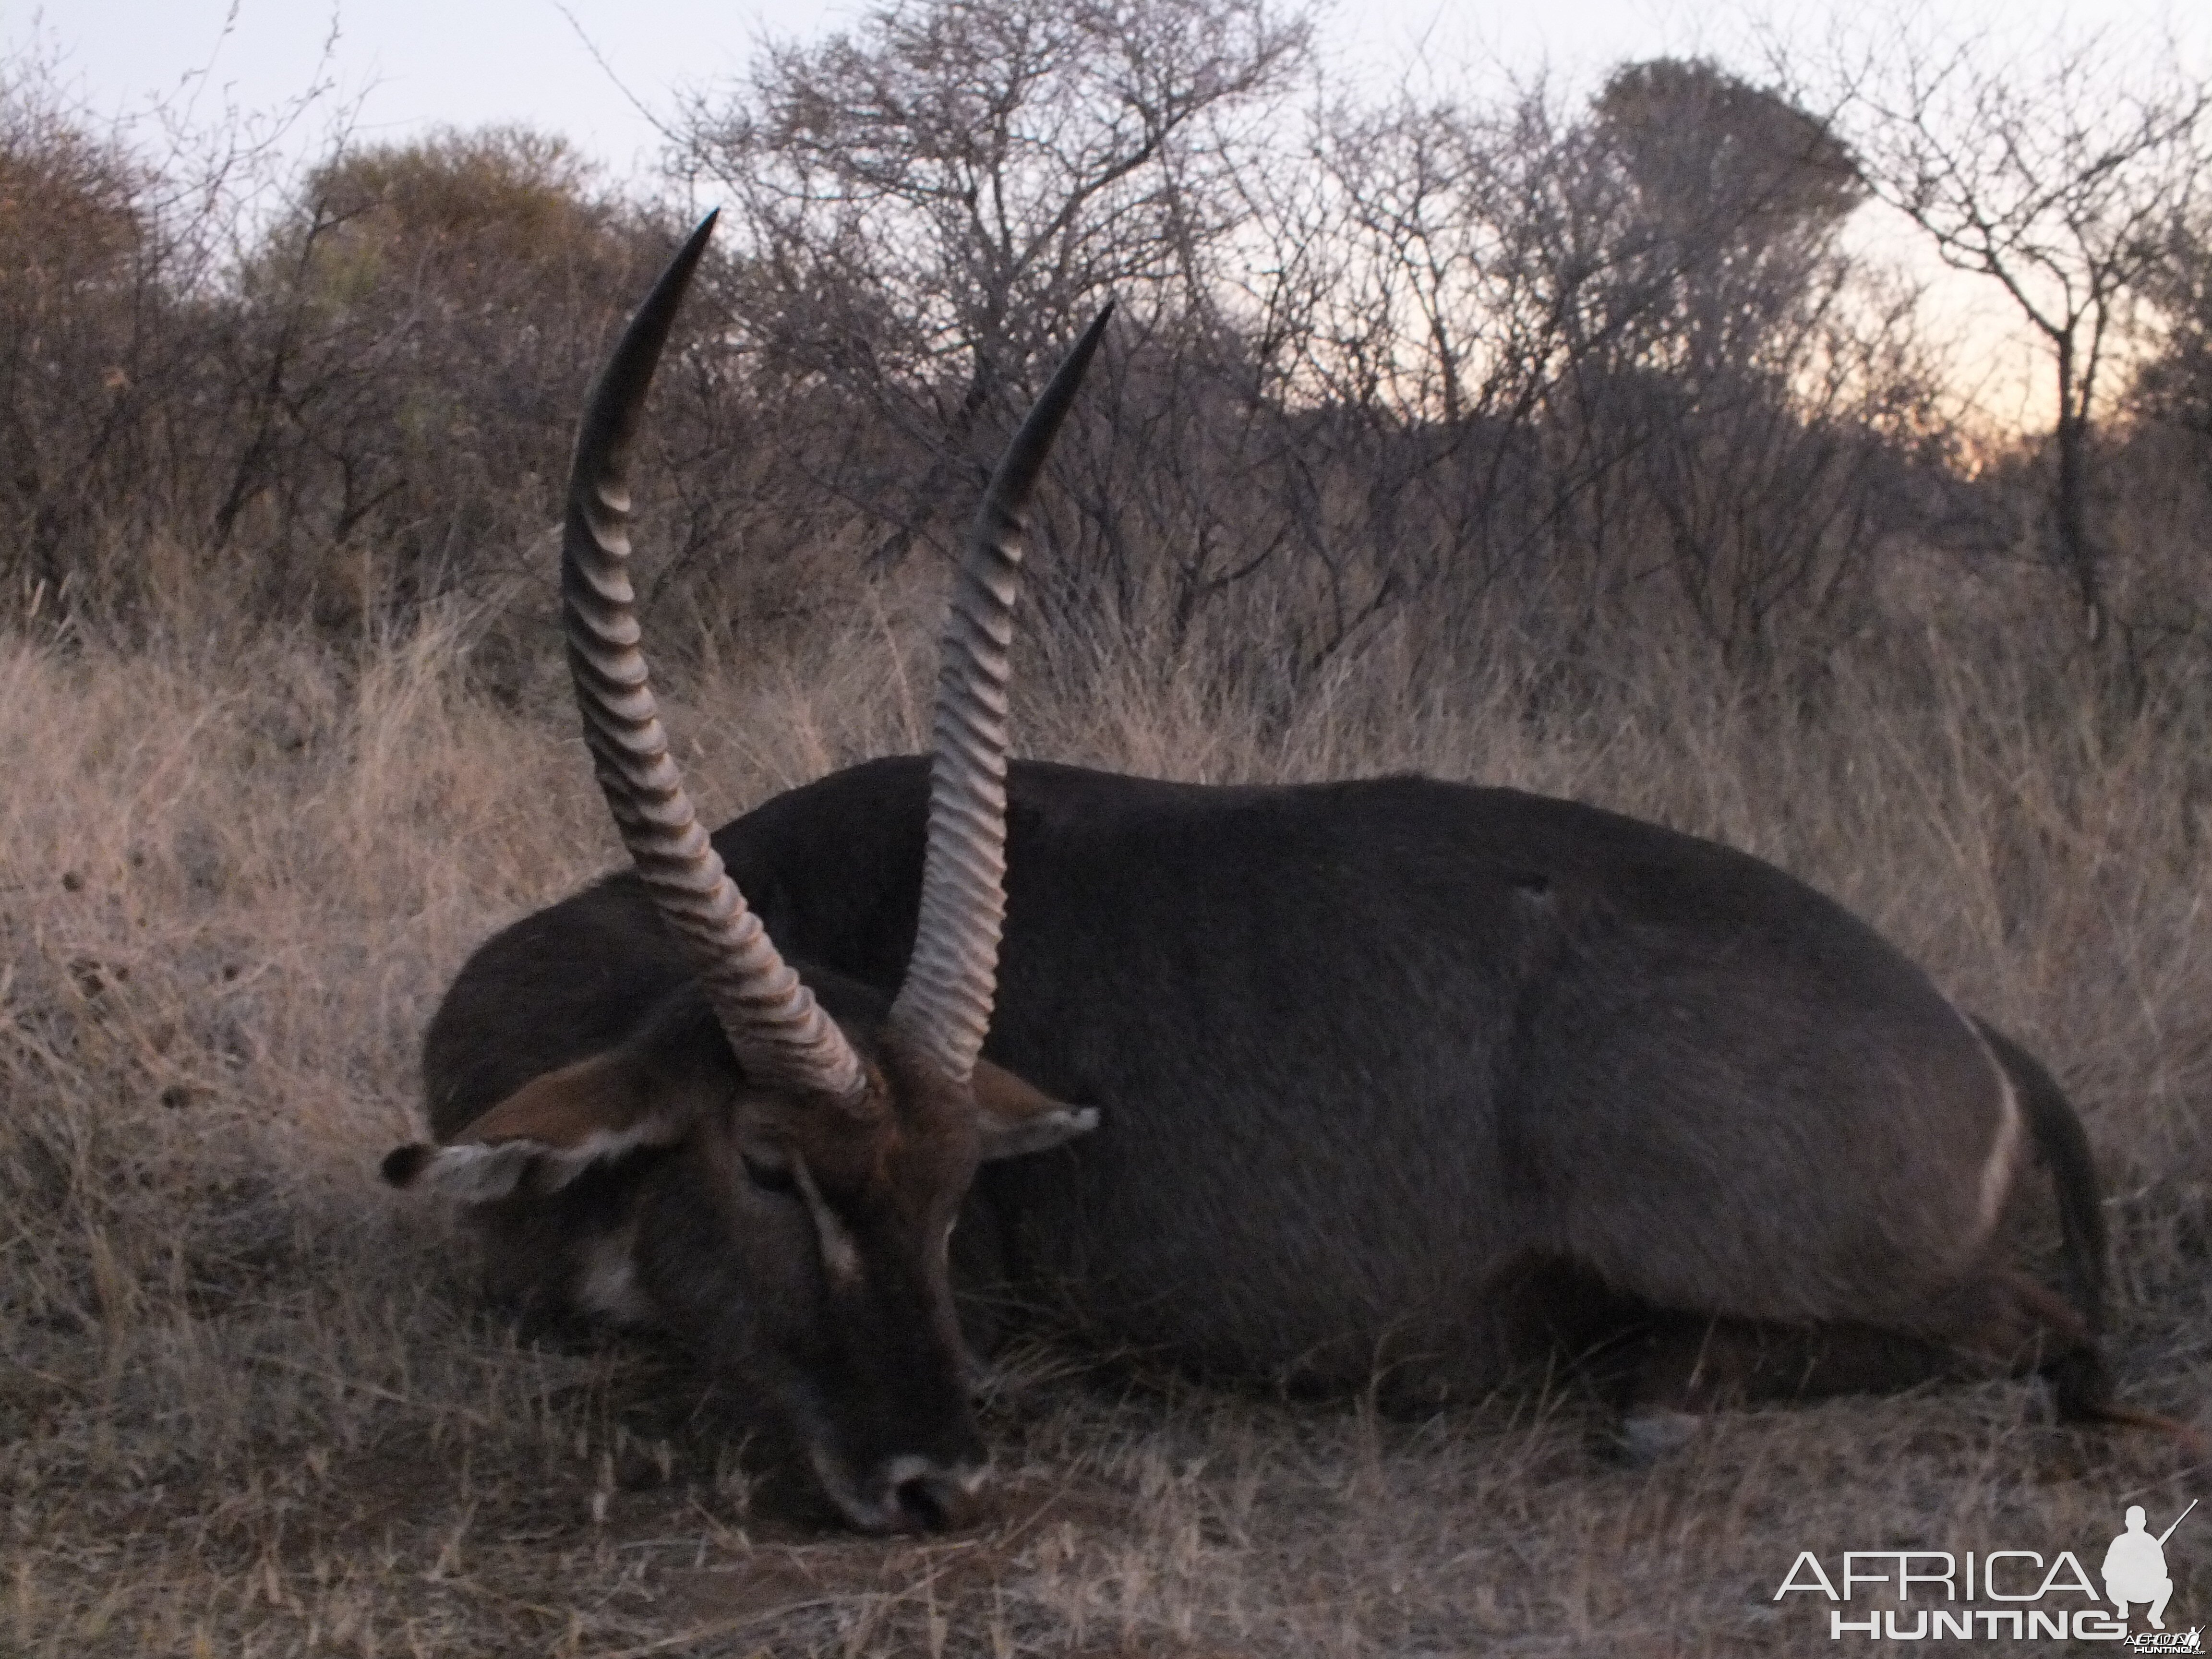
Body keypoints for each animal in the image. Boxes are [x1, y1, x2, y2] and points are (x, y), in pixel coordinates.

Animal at [389, 217, 2167, 1530]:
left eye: (959, 1193)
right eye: (770, 1166)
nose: (939, 1480)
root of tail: (1969, 1031)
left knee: (2038, 1333)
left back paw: (1661, 1403)